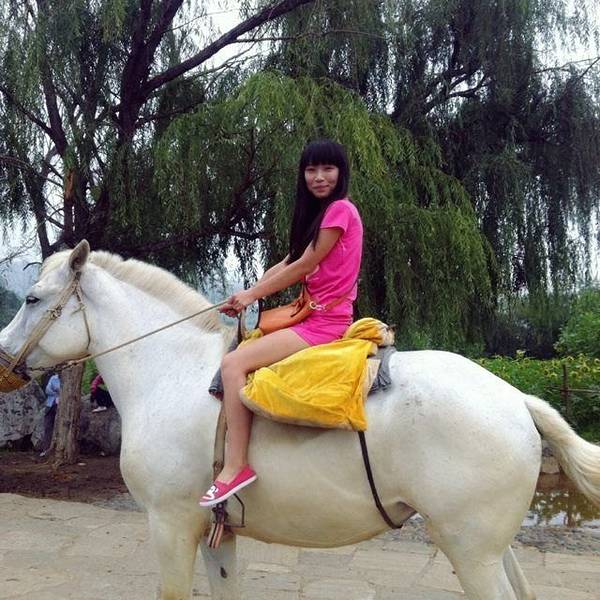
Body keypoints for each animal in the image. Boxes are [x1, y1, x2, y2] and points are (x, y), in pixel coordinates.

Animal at [1, 241, 599, 600]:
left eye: (31, 299)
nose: (2, 359)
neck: (171, 372)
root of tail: (516, 399)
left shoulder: (170, 524)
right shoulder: (216, 533)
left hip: (471, 551)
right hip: (490, 547)